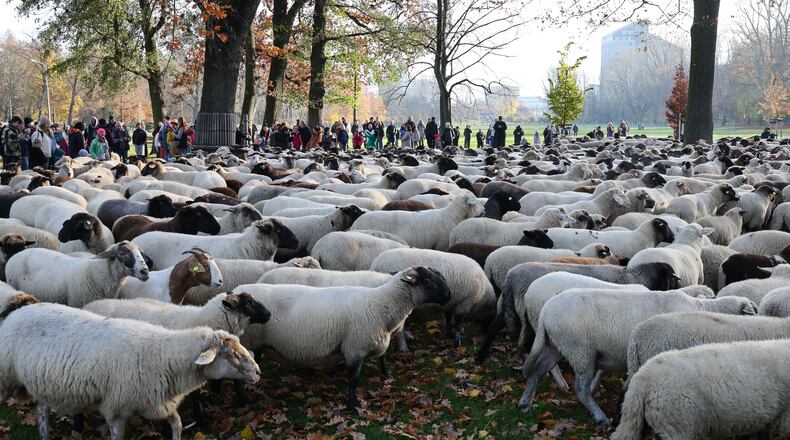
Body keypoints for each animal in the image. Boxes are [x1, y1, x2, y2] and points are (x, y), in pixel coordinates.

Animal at [0, 302, 259, 440]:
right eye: (231, 354)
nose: (257, 372)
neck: (162, 354)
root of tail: (20, 310)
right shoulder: (115, 408)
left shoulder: (157, 402)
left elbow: (176, 424)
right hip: (5, 378)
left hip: (40, 382)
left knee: (41, 409)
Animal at [237, 266, 450, 409]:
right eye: (429, 280)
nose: (449, 295)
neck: (380, 304)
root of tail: (238, 290)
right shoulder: (354, 348)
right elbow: (353, 379)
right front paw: (352, 405)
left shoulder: (373, 339)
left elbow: (382, 359)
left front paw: (388, 376)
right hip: (248, 343)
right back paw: (244, 401)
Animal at [519, 288, 758, 424]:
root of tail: (545, 312)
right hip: (580, 350)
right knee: (580, 389)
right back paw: (600, 416)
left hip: (557, 345)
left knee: (537, 371)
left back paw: (524, 403)